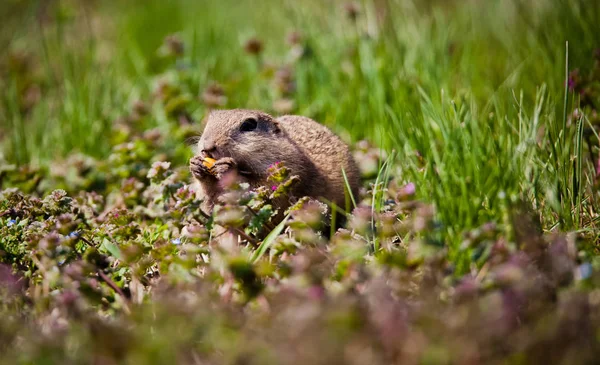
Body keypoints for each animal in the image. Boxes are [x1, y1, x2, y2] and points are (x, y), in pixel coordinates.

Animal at [190, 108, 358, 222]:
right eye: (209, 123)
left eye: (249, 125)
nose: (207, 147)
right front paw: (196, 165)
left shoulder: (289, 172)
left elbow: (263, 192)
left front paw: (227, 168)